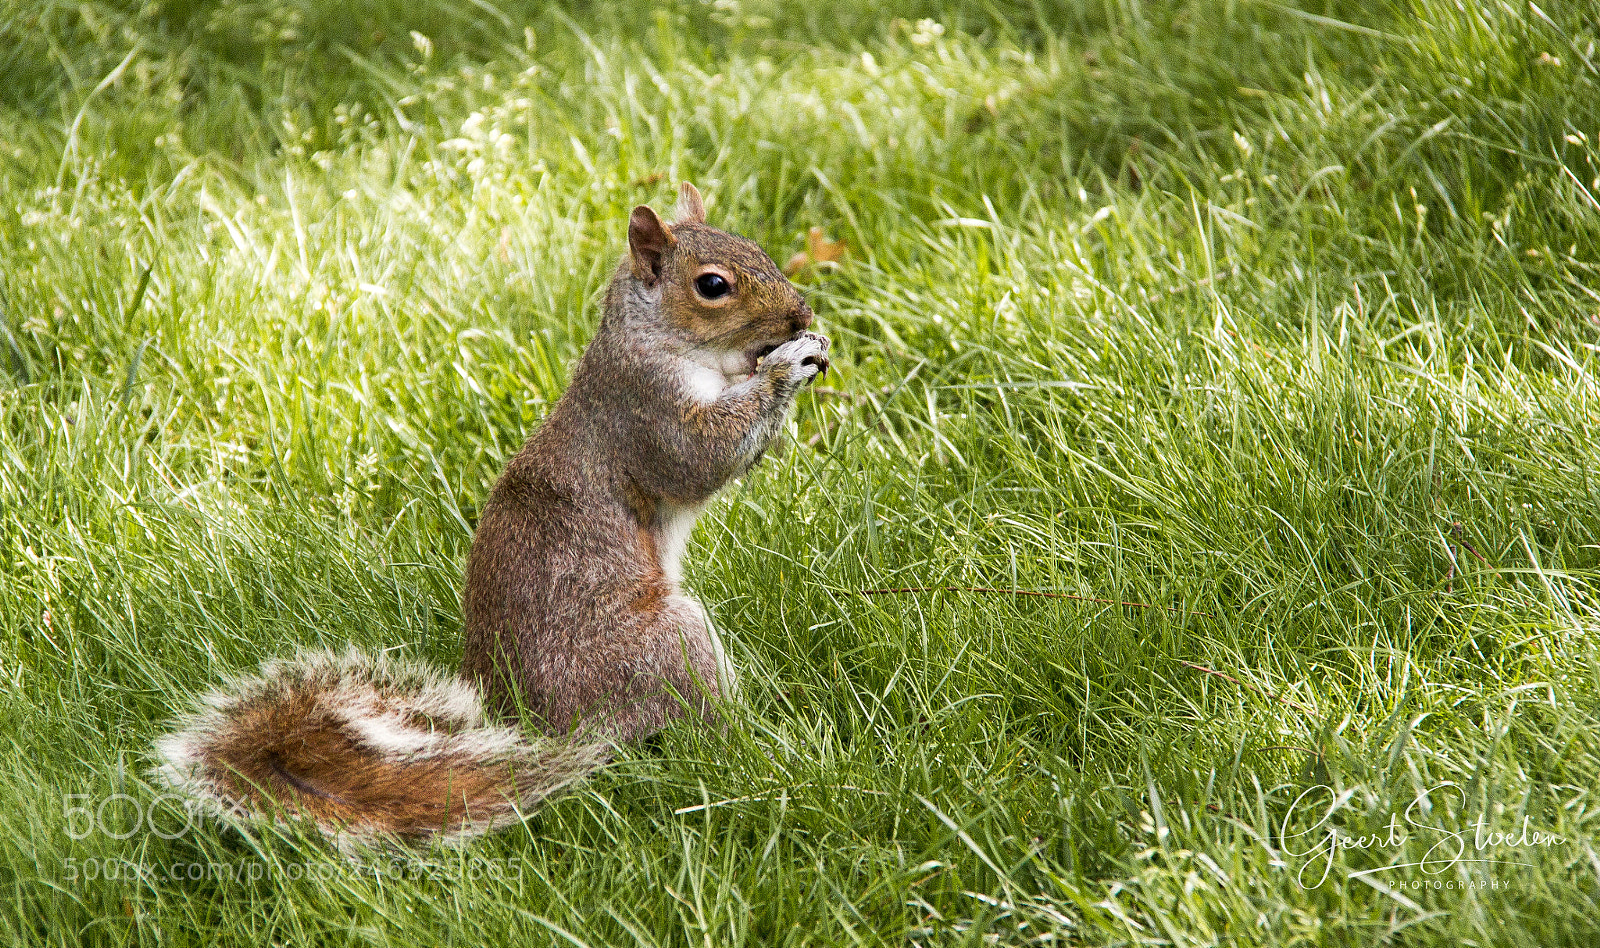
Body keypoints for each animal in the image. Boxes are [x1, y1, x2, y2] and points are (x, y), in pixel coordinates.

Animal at [153, 183, 831, 845]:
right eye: (712, 286)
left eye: (759, 250)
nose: (801, 317)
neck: (660, 340)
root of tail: (542, 730)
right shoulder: (646, 407)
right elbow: (699, 458)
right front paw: (786, 367)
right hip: (664, 648)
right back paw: (759, 738)